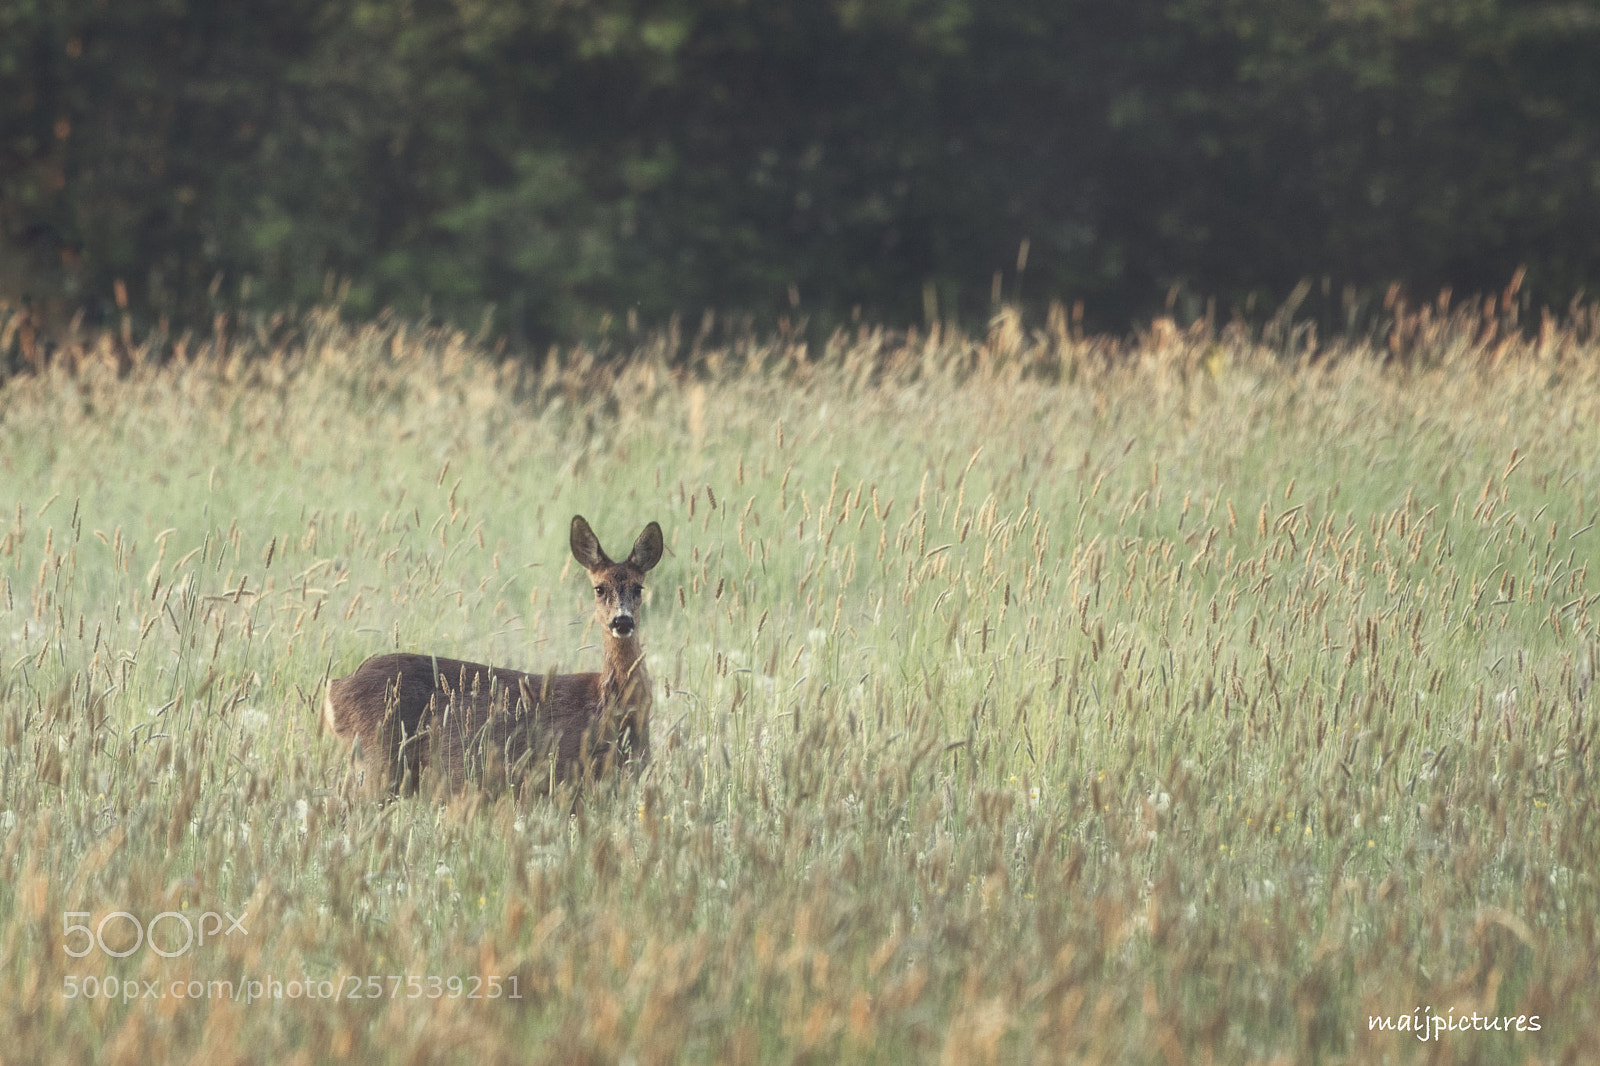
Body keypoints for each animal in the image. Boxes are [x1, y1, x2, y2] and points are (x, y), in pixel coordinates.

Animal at [322, 515, 663, 795]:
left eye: (638, 588)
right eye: (599, 588)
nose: (622, 621)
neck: (612, 703)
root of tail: (335, 690)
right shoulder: (569, 778)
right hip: (379, 763)